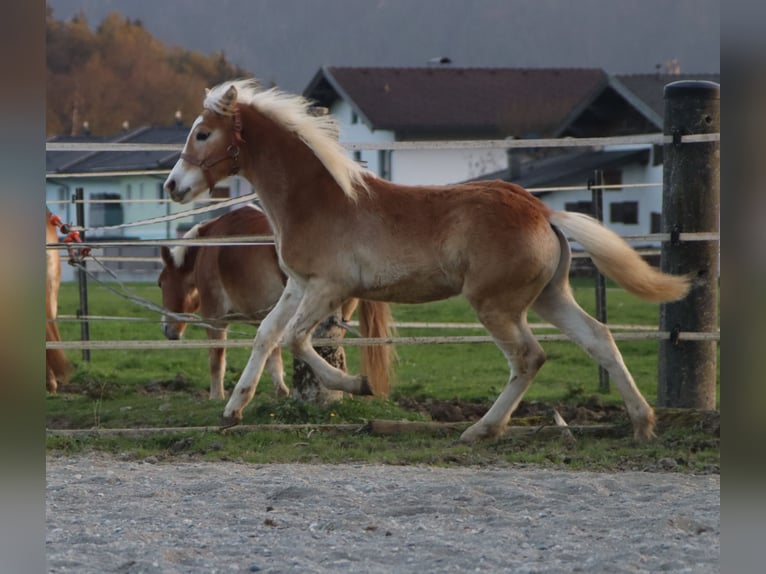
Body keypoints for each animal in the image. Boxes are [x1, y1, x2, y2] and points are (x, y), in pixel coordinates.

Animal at [156, 206, 396, 400]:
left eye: (160, 283)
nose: (168, 330)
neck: (212, 244)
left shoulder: (215, 318)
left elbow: (217, 360)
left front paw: (216, 397)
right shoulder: (265, 317)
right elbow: (272, 357)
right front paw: (281, 391)